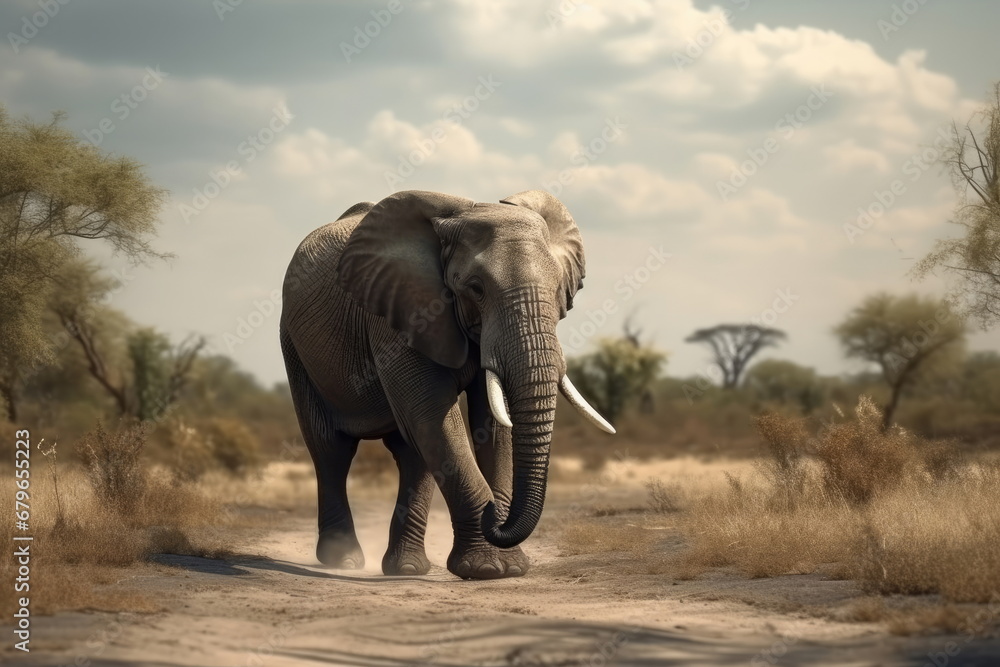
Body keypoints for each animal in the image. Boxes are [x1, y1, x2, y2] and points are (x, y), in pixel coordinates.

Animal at [279, 189, 614, 580]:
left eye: (558, 288)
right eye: (476, 289)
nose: (496, 517)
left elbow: (490, 426)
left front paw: (508, 567)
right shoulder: (400, 314)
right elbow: (434, 414)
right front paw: (488, 569)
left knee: (412, 452)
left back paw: (407, 568)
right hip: (294, 346)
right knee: (331, 449)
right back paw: (342, 560)